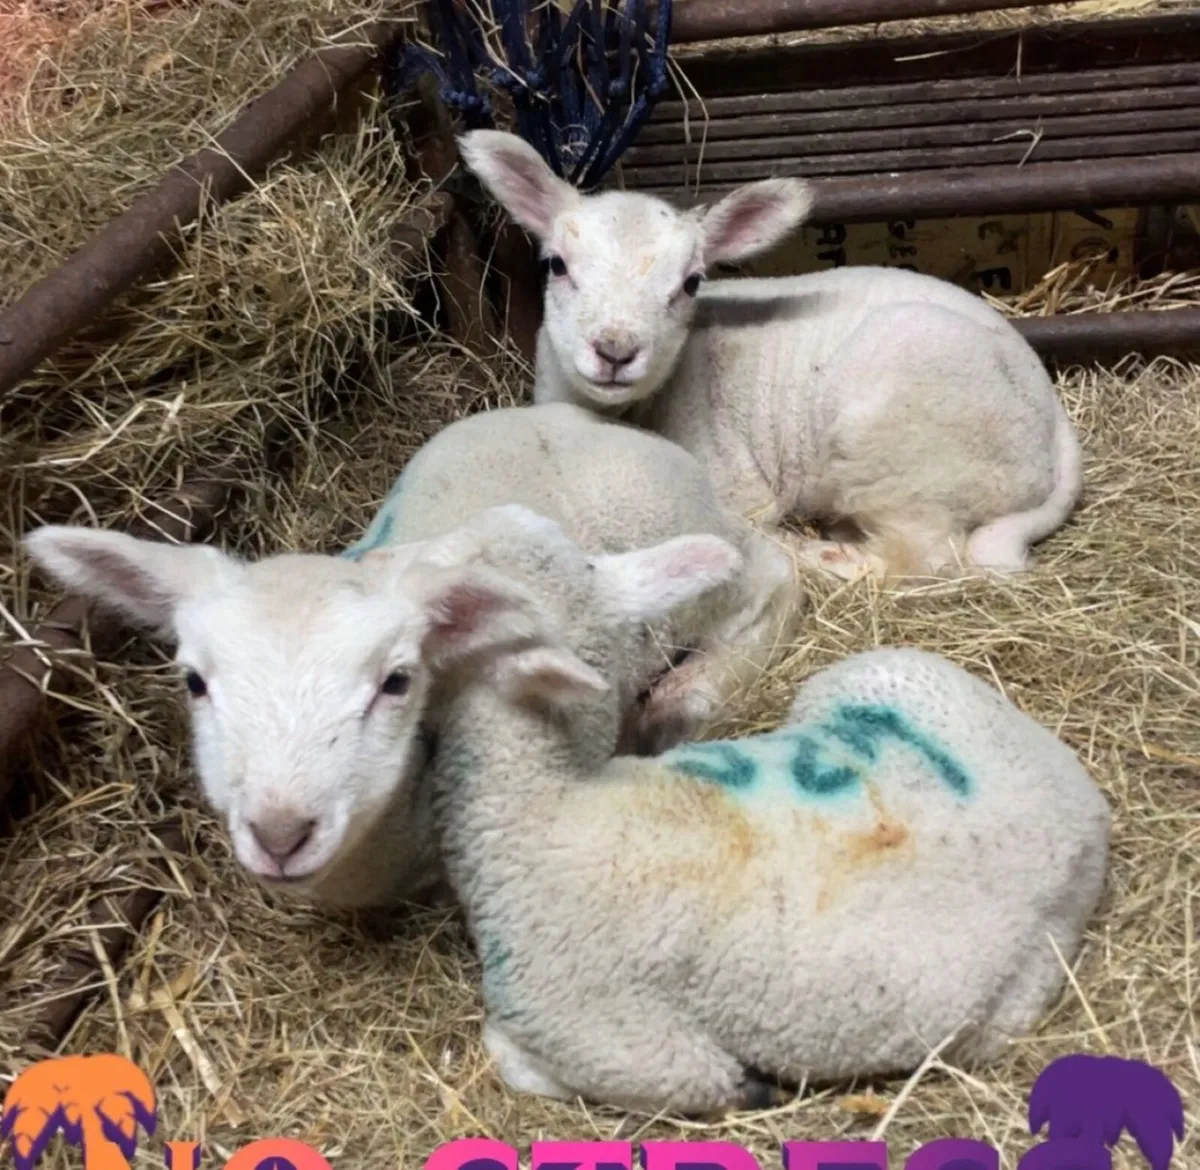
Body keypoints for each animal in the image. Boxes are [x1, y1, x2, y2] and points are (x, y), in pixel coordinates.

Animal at [22, 403, 801, 909]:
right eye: (194, 682)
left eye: (394, 682)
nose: (281, 833)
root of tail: (580, 416)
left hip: (674, 523)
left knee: (770, 574)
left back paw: (689, 694)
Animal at [400, 503, 1112, 1115]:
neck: (547, 804)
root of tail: (1085, 818)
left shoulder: (620, 1041)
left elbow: (515, 1056)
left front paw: (757, 1088)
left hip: (1003, 1009)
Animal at [457, 129, 1084, 583]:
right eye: (556, 265)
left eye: (691, 282)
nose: (615, 351)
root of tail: (1055, 426)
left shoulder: (738, 485)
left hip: (904, 441)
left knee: (928, 554)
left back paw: (825, 556)